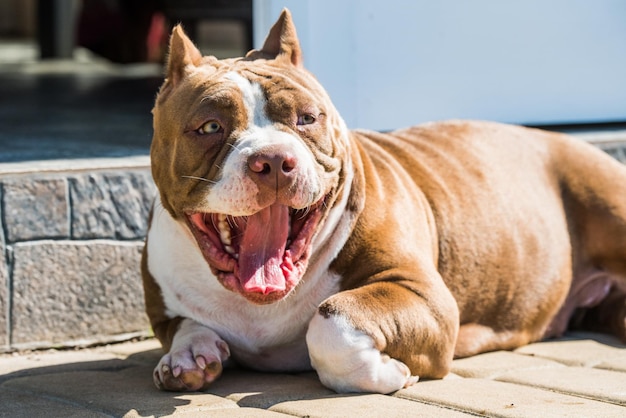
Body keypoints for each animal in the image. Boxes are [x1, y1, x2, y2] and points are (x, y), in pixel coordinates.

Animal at [141, 9, 624, 396]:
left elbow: (331, 321)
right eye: (210, 127)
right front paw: (187, 356)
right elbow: (184, 325)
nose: (275, 160)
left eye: (307, 118)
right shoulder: (164, 310)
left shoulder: (422, 296)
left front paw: (387, 371)